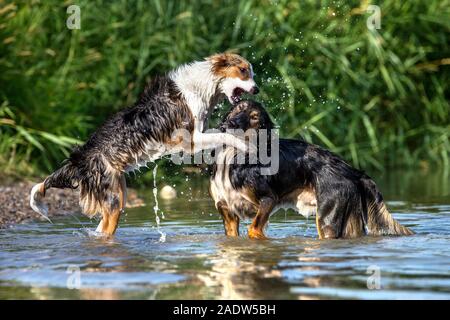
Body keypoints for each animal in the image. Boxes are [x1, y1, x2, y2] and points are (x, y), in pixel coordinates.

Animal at [209, 101, 414, 239]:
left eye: (254, 117)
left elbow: (253, 230)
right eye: (237, 109)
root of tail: (352, 170)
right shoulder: (226, 210)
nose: (230, 124)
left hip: (327, 219)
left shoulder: (268, 199)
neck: (233, 155)